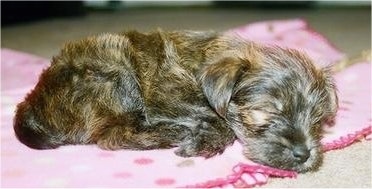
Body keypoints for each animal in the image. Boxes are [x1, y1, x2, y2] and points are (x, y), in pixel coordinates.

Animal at [13, 29, 338, 173]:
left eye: (318, 120)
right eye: (267, 112)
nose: (304, 154)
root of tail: (31, 103)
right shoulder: (165, 96)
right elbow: (221, 122)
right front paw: (203, 140)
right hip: (116, 71)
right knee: (113, 136)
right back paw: (173, 133)